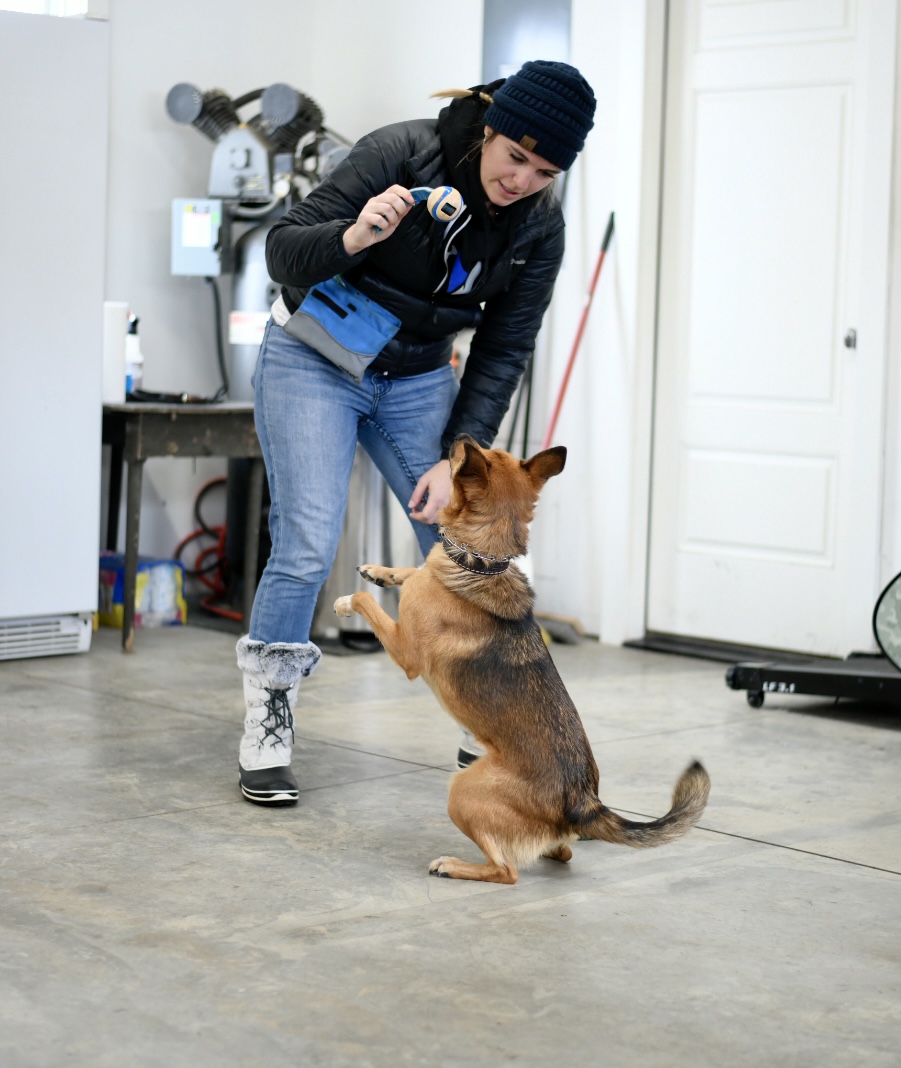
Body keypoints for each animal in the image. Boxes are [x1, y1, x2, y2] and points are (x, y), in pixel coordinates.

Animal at [333, 433, 708, 884]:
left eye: (471, 455)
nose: (460, 436)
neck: (481, 563)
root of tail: (583, 803)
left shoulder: (405, 651)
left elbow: (367, 600)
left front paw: (347, 600)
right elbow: (415, 569)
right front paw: (380, 570)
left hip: (462, 790)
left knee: (506, 870)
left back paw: (454, 866)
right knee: (561, 851)